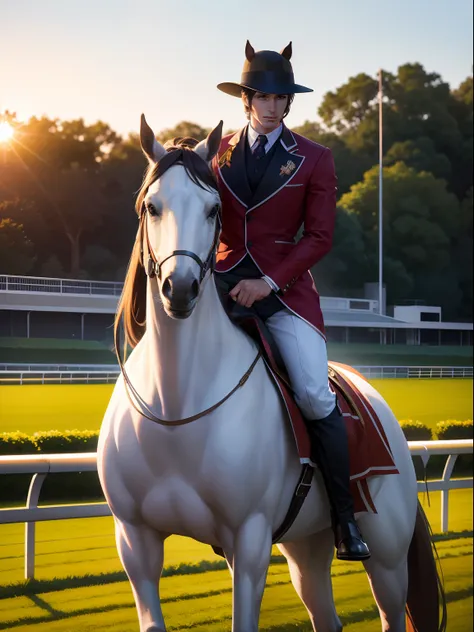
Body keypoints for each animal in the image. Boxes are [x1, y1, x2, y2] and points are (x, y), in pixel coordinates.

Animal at [98, 116, 446, 628]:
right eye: (151, 206)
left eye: (213, 209)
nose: (180, 288)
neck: (177, 403)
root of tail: (373, 398)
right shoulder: (135, 543)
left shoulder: (249, 542)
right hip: (306, 546)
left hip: (386, 556)